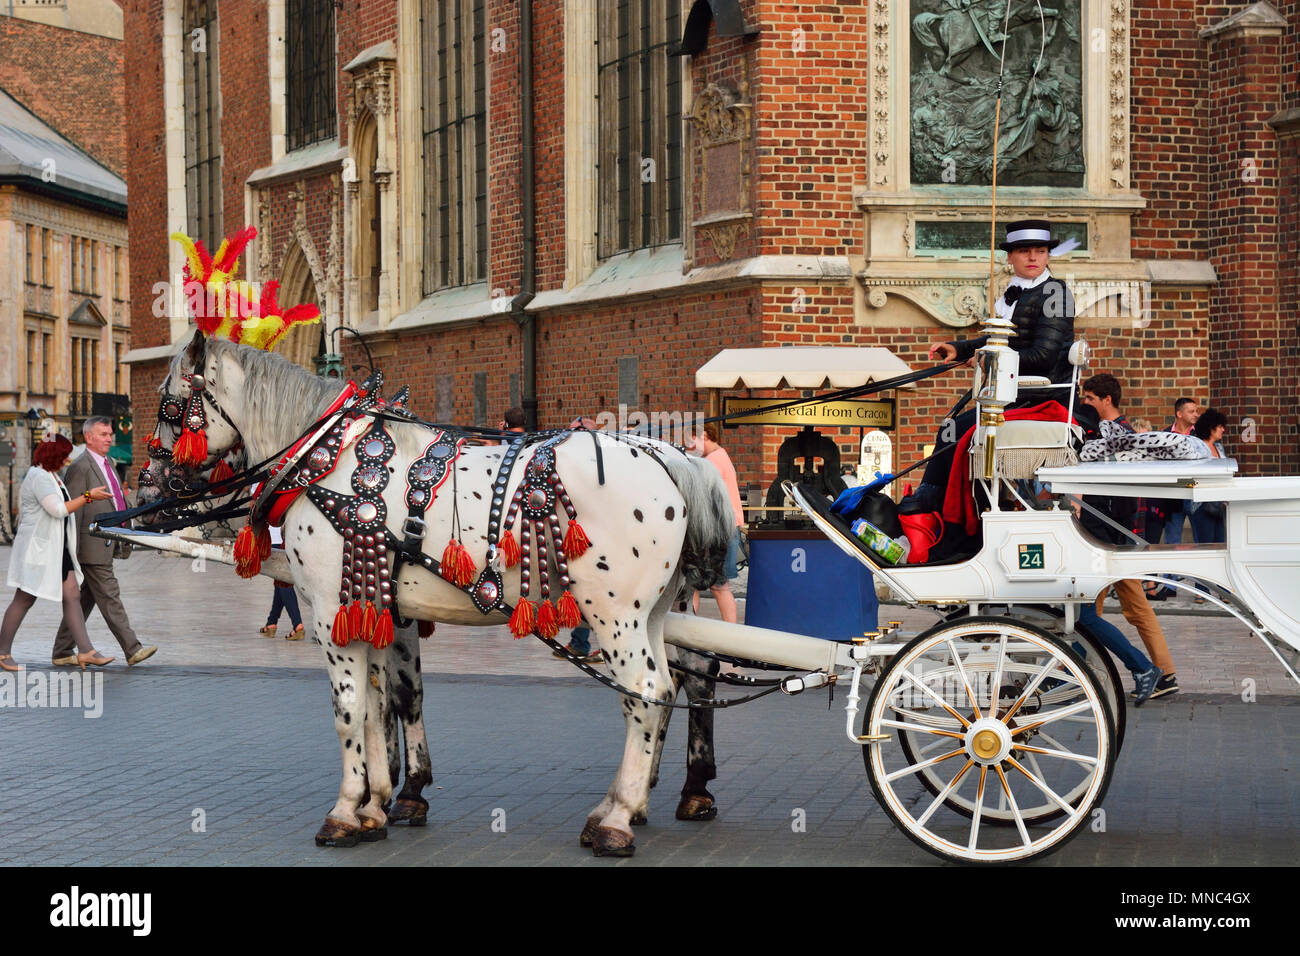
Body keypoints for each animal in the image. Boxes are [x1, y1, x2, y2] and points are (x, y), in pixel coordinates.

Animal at [142, 332, 738, 858]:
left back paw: (619, 821)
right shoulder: (374, 608)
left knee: (647, 688)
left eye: (169, 401)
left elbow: (349, 710)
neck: (327, 460)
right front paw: (377, 806)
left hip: (613, 613)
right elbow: (383, 704)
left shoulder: (332, 611)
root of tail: (673, 459)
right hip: (654, 611)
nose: (149, 481)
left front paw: (344, 812)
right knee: (671, 685)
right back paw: (623, 806)